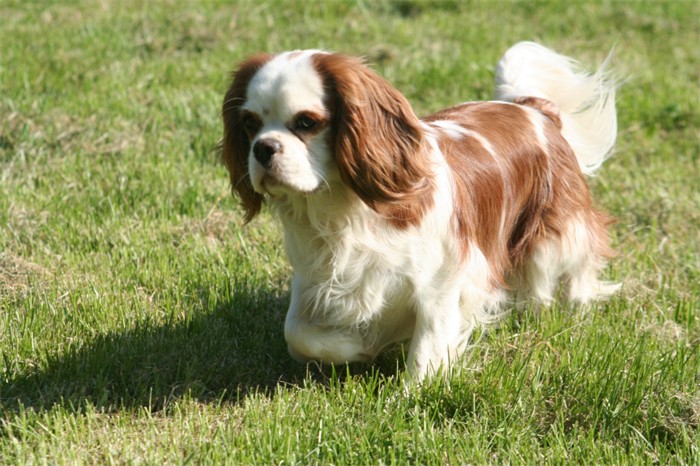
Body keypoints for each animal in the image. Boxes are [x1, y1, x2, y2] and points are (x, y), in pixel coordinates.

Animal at [220, 41, 616, 380]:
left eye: (306, 122)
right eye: (250, 123)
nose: (263, 148)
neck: (342, 209)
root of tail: (530, 107)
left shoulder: (442, 276)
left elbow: (428, 343)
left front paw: (413, 390)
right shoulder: (311, 275)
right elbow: (296, 333)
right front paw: (356, 346)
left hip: (554, 234)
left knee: (569, 269)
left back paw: (574, 309)